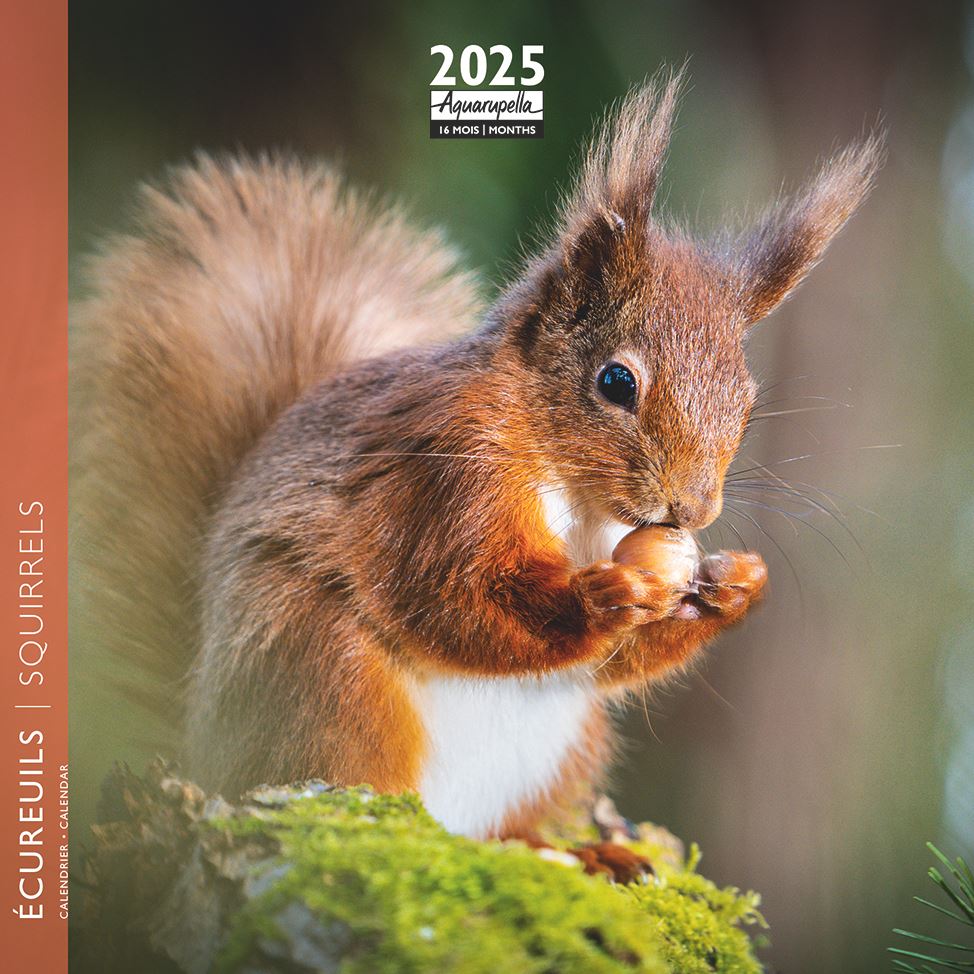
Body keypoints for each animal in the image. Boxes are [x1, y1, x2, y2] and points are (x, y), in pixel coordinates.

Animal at [74, 75, 880, 846]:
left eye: (748, 397)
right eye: (616, 382)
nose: (693, 508)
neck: (574, 489)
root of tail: (205, 745)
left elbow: (617, 662)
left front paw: (738, 584)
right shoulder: (443, 479)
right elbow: (455, 595)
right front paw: (604, 598)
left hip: (566, 745)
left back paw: (582, 850)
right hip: (325, 671)